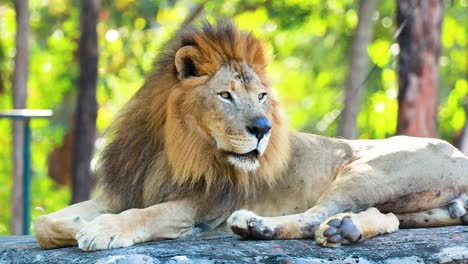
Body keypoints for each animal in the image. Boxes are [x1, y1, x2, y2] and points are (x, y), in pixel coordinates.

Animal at [34, 20, 466, 250]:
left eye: (261, 96)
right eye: (225, 95)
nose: (263, 128)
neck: (172, 148)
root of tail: (460, 156)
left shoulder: (202, 206)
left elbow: (146, 214)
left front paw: (102, 230)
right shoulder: (122, 192)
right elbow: (44, 224)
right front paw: (75, 227)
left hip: (370, 170)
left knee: (316, 215)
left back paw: (259, 226)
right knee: (385, 217)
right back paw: (346, 229)